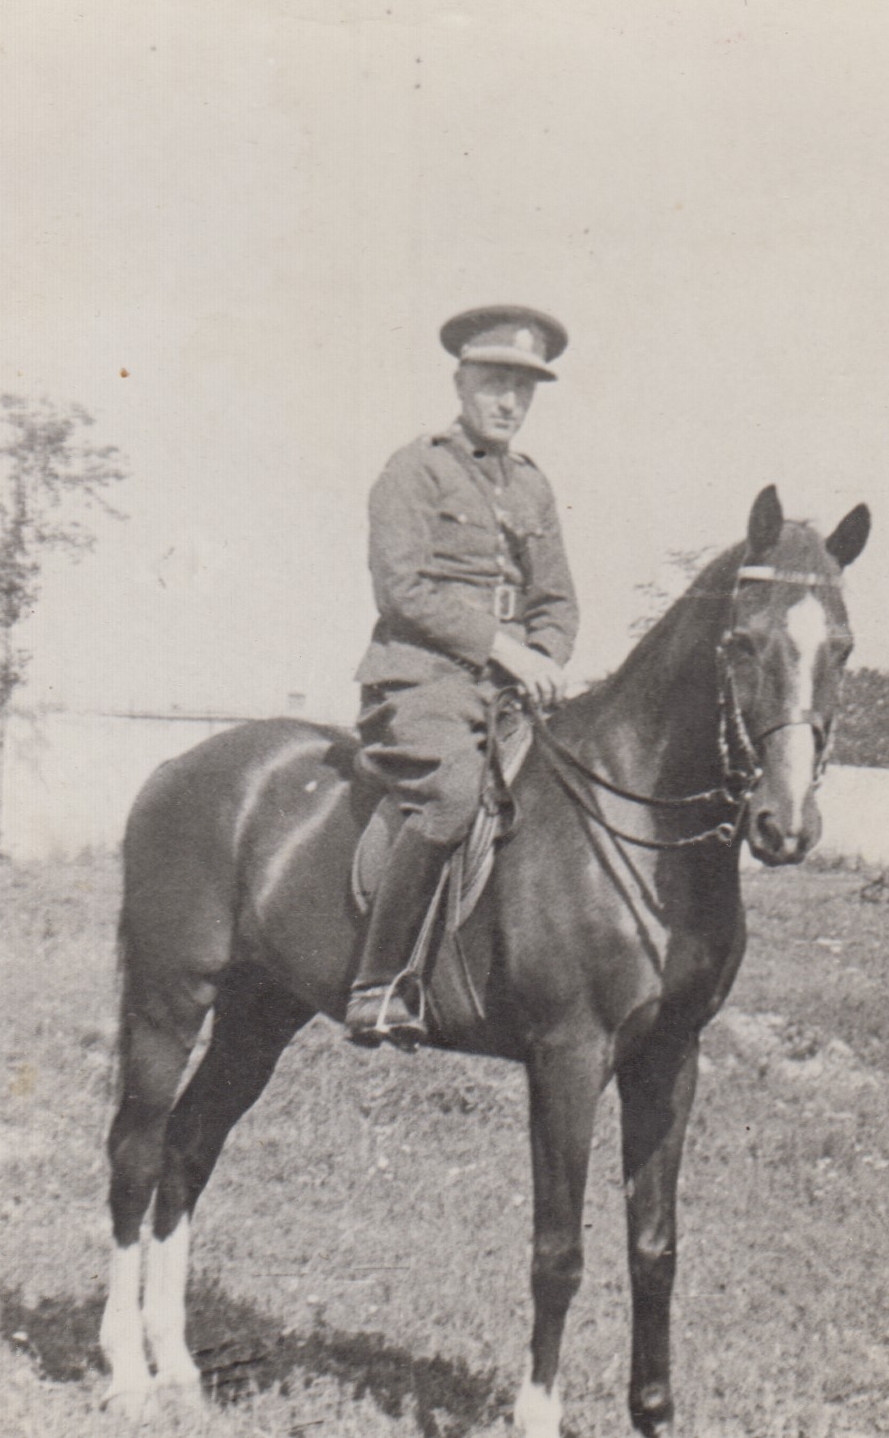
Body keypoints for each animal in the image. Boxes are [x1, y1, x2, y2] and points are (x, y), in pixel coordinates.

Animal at [100, 485, 869, 1437]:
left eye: (841, 648)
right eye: (741, 641)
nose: (785, 827)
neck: (636, 828)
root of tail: (178, 765)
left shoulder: (669, 1058)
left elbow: (654, 1245)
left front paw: (652, 1411)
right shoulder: (566, 1059)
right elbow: (558, 1249)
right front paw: (536, 1411)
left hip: (258, 1017)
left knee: (188, 1150)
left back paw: (176, 1371)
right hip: (167, 1001)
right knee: (135, 1155)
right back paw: (128, 1375)